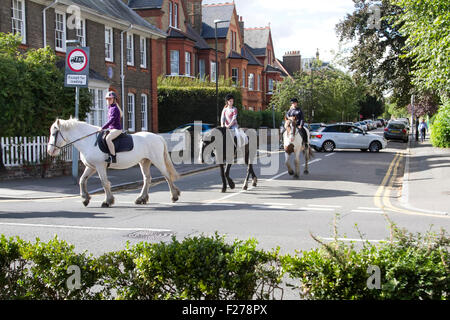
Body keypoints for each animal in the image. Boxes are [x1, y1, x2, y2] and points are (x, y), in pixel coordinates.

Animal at [45, 118, 179, 208]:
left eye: (54, 133)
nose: (49, 151)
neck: (88, 141)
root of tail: (158, 137)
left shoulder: (100, 166)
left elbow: (104, 183)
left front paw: (107, 201)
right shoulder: (91, 167)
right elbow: (82, 180)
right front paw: (85, 199)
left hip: (157, 160)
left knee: (166, 176)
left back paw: (174, 196)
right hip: (144, 162)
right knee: (147, 179)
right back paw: (141, 198)